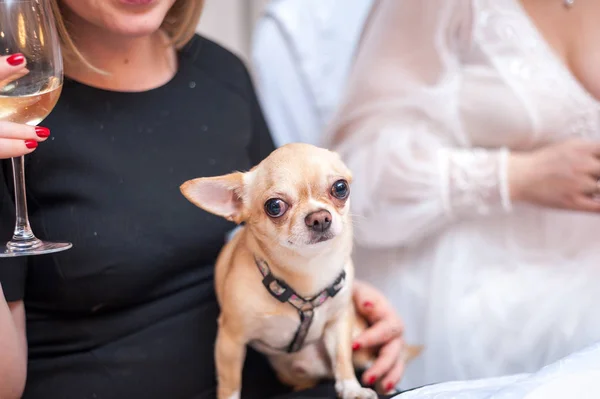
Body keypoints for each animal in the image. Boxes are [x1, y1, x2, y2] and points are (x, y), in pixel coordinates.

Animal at [180, 144, 418, 399]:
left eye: (340, 187)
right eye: (274, 206)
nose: (319, 217)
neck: (308, 269)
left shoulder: (339, 322)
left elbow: (342, 359)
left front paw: (352, 389)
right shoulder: (230, 340)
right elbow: (229, 383)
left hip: (359, 342)